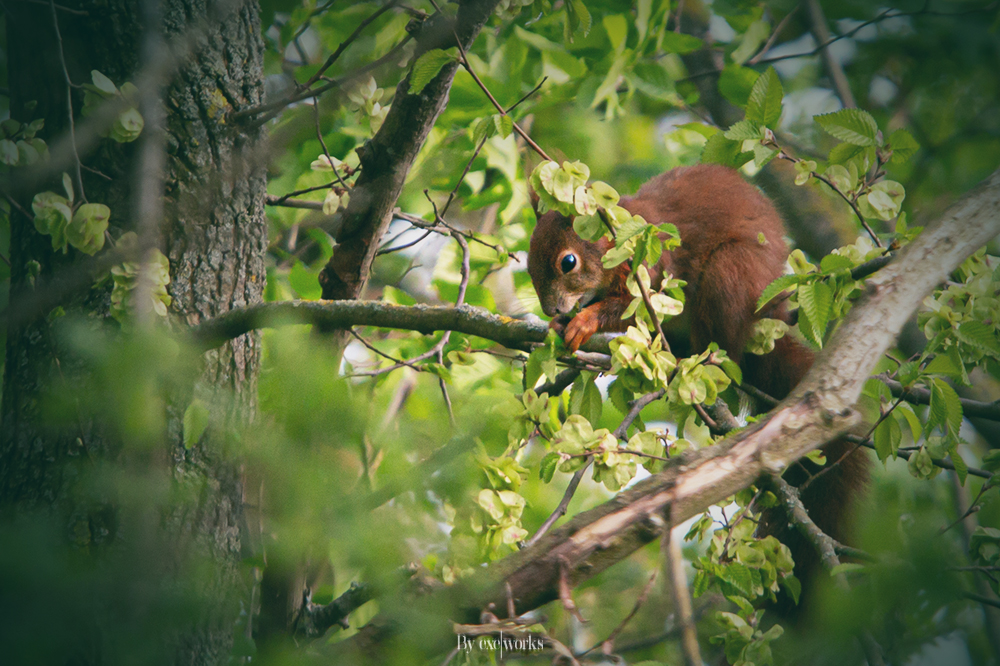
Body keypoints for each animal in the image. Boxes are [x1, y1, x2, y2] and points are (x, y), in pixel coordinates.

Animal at [532, 163, 868, 608]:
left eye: (567, 262)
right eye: (529, 264)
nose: (549, 308)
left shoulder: (651, 269)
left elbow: (632, 309)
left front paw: (584, 321)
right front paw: (559, 324)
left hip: (730, 275)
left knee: (724, 337)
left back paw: (701, 357)